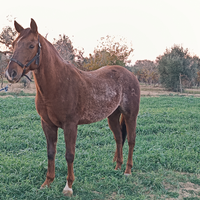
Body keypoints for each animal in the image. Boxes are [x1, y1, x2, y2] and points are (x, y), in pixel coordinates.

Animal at [5, 19, 141, 197]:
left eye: (31, 45)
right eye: (14, 44)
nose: (11, 73)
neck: (58, 84)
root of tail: (131, 75)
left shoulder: (70, 125)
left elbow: (69, 155)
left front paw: (68, 187)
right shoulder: (47, 124)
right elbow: (51, 153)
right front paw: (47, 183)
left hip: (131, 115)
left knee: (131, 140)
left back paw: (127, 171)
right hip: (112, 116)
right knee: (118, 138)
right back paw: (117, 167)